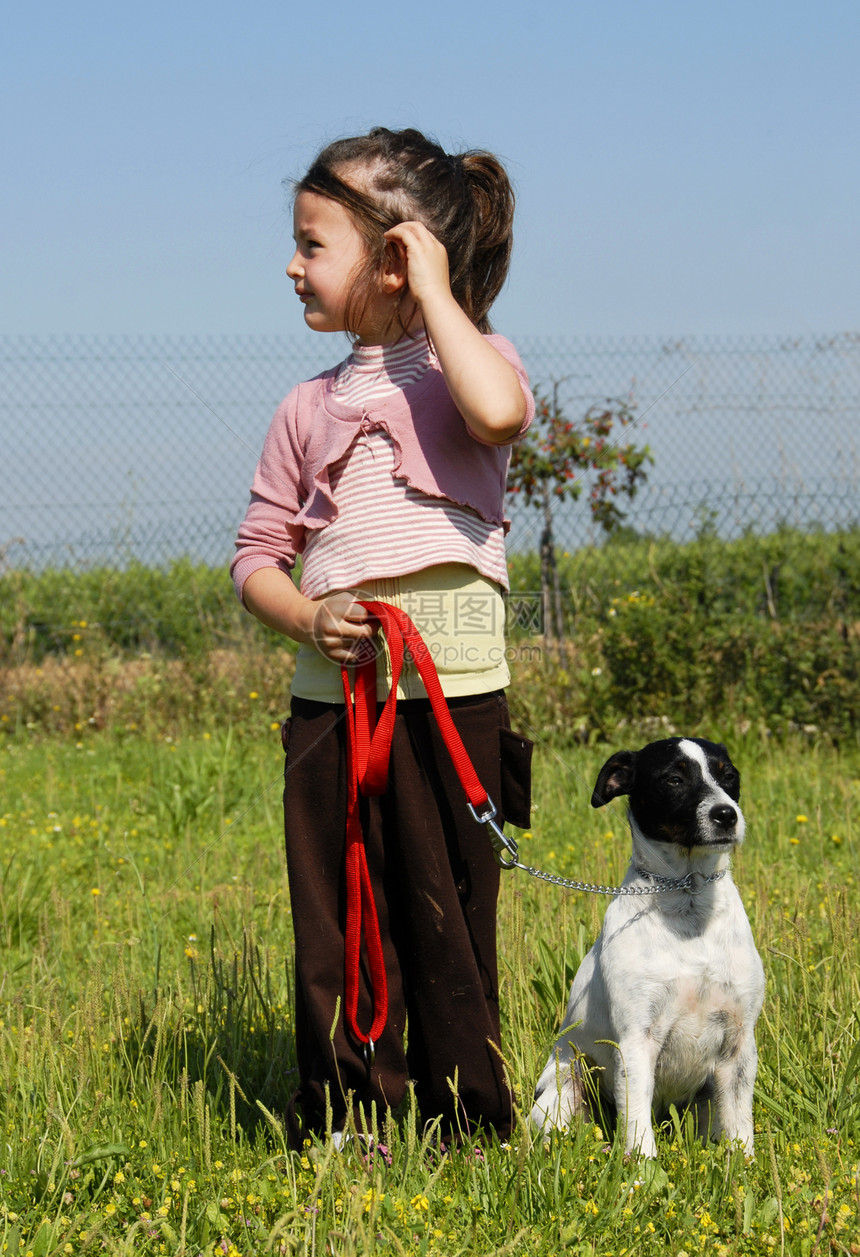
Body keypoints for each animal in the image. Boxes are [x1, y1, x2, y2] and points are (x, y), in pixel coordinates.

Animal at [530, 734, 764, 1156]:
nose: (726, 815)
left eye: (729, 776)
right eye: (673, 779)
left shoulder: (739, 1043)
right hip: (563, 1090)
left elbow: (741, 1129)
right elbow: (637, 1125)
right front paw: (642, 1170)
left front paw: (744, 1169)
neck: (689, 900)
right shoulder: (636, 1040)